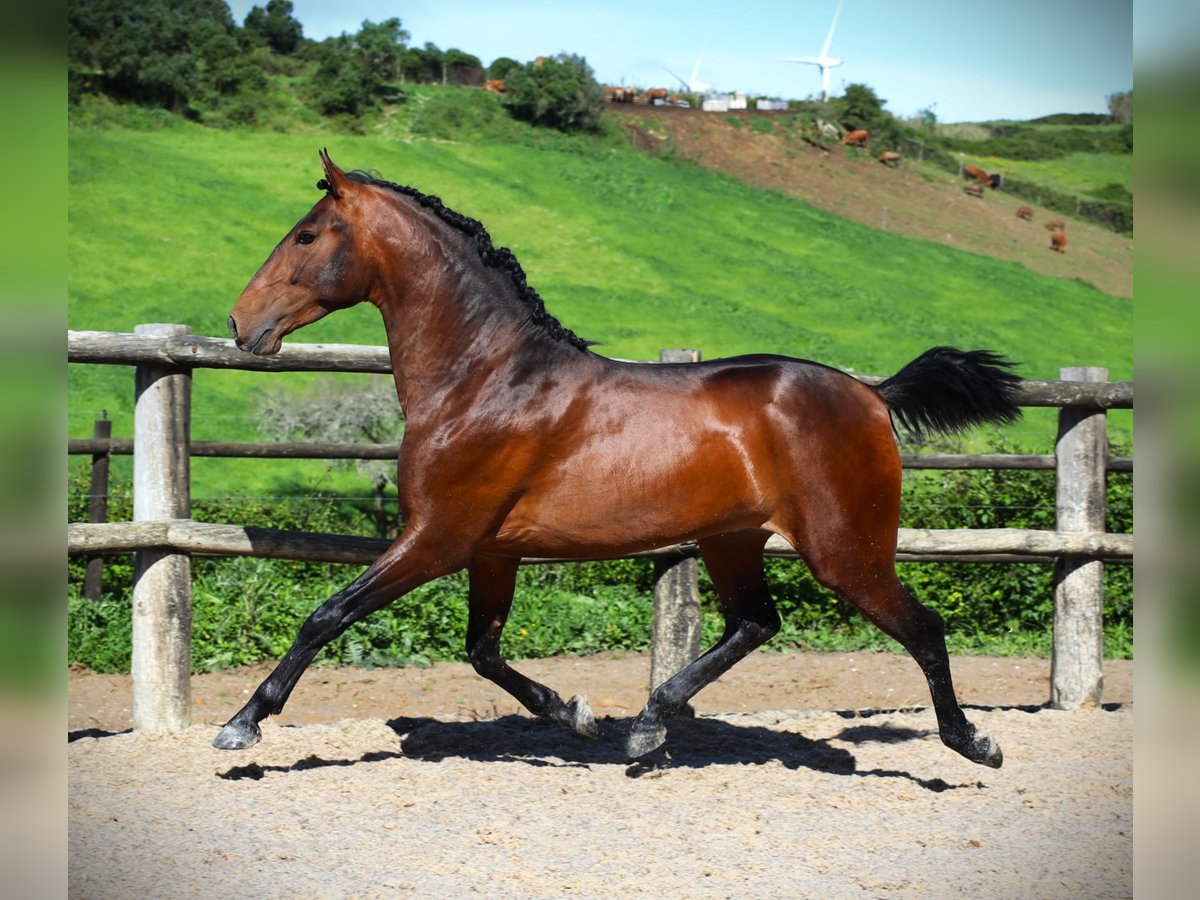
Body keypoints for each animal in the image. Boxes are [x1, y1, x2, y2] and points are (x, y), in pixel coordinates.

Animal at [218, 150, 1022, 768]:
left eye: (306, 235)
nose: (239, 321)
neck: (484, 379)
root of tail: (871, 393)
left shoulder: (437, 536)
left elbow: (328, 615)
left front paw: (242, 723)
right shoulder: (491, 550)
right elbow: (482, 651)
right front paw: (576, 715)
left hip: (845, 550)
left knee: (921, 628)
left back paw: (974, 744)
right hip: (734, 538)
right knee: (755, 624)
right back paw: (646, 726)